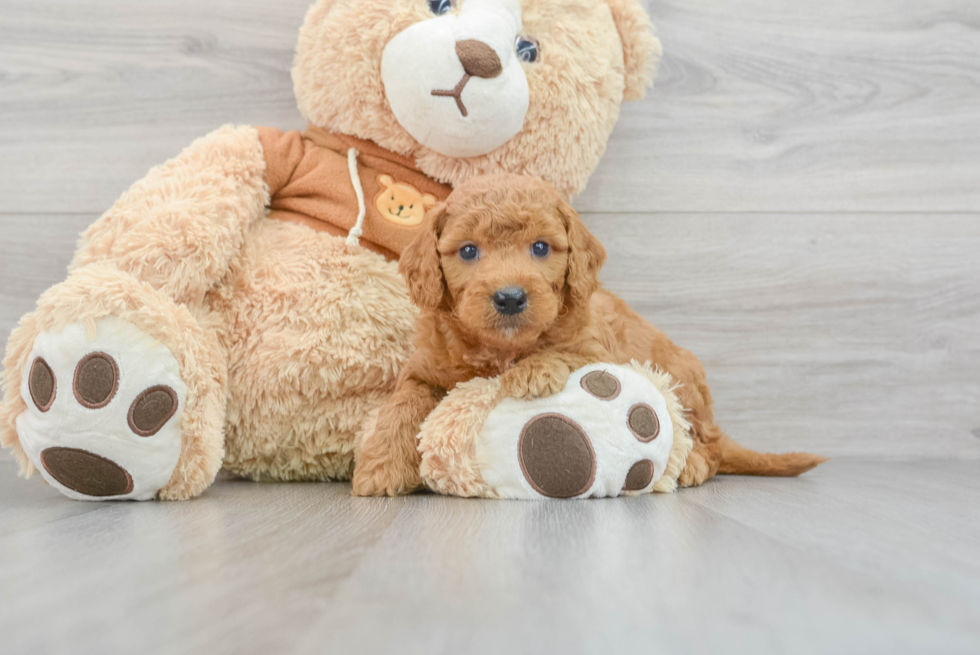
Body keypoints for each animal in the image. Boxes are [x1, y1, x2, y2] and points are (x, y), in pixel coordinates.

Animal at [348, 174, 824, 498]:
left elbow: (565, 352)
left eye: (541, 248)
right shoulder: (423, 368)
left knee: (709, 445)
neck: (501, 348)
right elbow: (402, 405)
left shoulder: (598, 350)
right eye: (467, 251)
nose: (510, 297)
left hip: (685, 381)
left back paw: (691, 465)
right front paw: (380, 468)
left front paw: (533, 371)